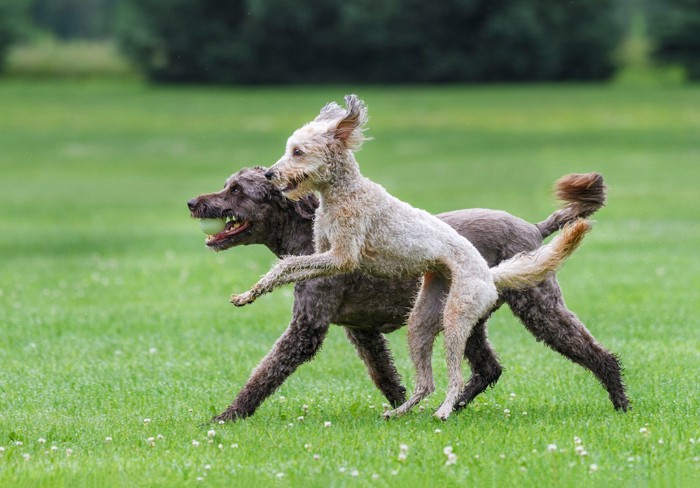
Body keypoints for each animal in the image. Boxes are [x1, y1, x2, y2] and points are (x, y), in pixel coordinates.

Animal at [187, 168, 628, 420]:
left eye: (236, 190)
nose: (193, 202)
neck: (308, 233)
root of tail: (535, 229)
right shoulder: (361, 331)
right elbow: (385, 375)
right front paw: (401, 406)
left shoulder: (306, 329)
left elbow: (265, 373)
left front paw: (229, 415)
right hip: (466, 317)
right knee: (489, 369)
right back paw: (454, 406)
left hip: (538, 307)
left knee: (594, 353)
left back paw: (620, 400)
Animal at [231, 95, 592, 420]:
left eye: (298, 151)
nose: (269, 175)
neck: (343, 192)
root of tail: (490, 274)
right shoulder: (323, 253)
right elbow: (287, 268)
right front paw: (252, 292)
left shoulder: (342, 256)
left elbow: (291, 263)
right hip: (422, 319)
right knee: (427, 382)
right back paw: (402, 410)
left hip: (458, 315)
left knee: (456, 375)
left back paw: (445, 410)